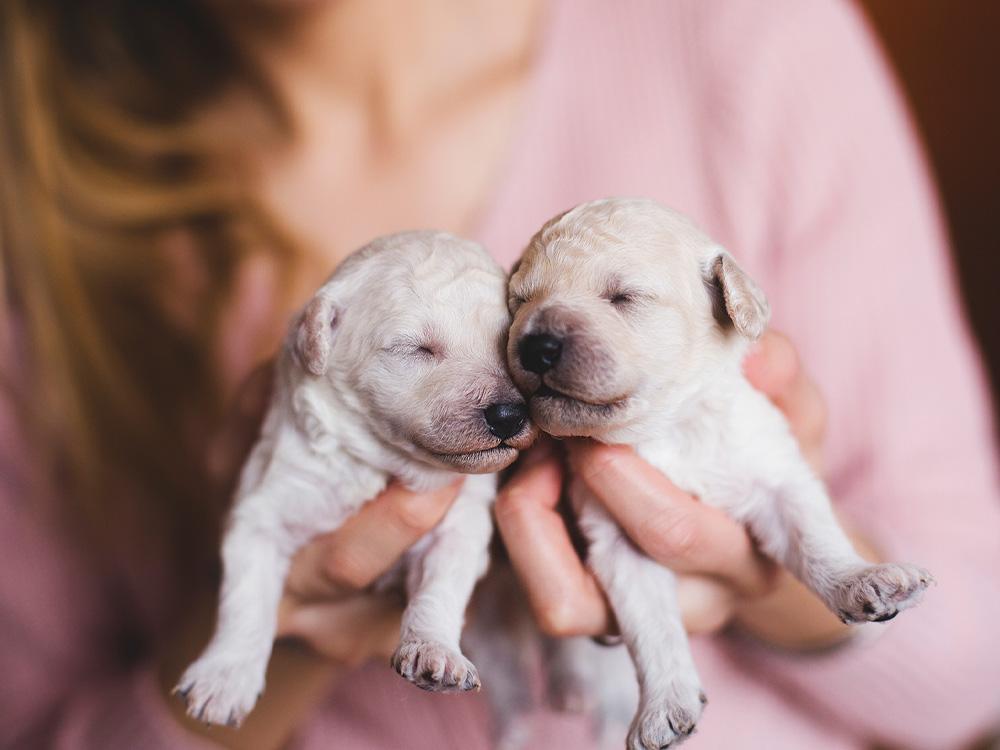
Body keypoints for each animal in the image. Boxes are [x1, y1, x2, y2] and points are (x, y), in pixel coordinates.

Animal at [179, 231, 540, 728]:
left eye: (509, 342)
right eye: (416, 349)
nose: (510, 414)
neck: (384, 463)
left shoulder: (461, 524)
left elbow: (441, 584)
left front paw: (434, 650)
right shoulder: (265, 505)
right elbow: (246, 598)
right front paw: (224, 678)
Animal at [504, 200, 932, 750]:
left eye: (623, 296)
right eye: (518, 303)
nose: (535, 346)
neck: (671, 429)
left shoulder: (775, 474)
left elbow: (815, 537)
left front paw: (862, 580)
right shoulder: (615, 538)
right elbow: (651, 624)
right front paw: (664, 706)